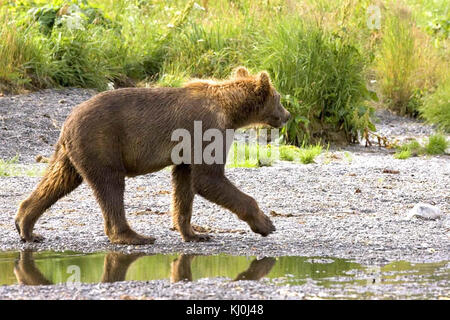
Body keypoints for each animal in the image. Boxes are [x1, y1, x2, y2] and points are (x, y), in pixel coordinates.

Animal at [14, 67, 292, 245]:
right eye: (279, 97)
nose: (288, 115)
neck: (230, 111)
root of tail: (67, 121)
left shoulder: (187, 148)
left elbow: (184, 184)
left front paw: (195, 233)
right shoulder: (206, 129)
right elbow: (208, 178)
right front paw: (266, 223)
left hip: (71, 152)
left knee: (58, 180)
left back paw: (26, 226)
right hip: (102, 143)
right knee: (110, 186)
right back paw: (134, 236)